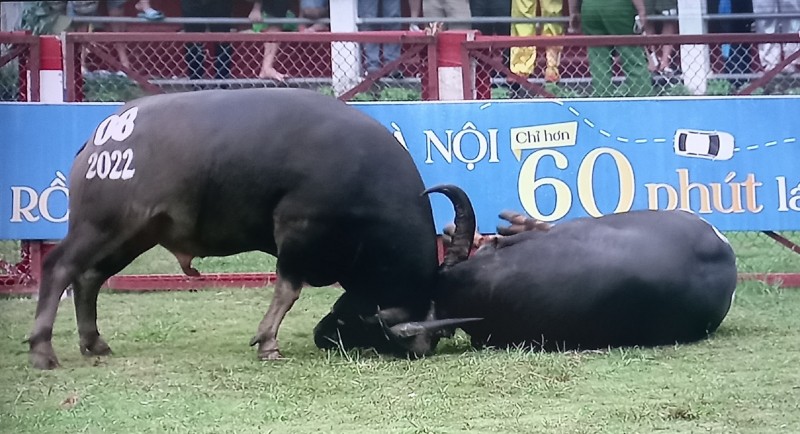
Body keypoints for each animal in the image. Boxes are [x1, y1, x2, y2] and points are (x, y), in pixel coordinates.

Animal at [28, 88, 472, 370]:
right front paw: (268, 343)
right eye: (394, 333)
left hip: (132, 235)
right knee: (60, 268)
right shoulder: (297, 234)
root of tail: (98, 138)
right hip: (102, 225)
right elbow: (288, 291)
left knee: (89, 278)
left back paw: (93, 343)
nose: (323, 335)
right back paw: (43, 350)